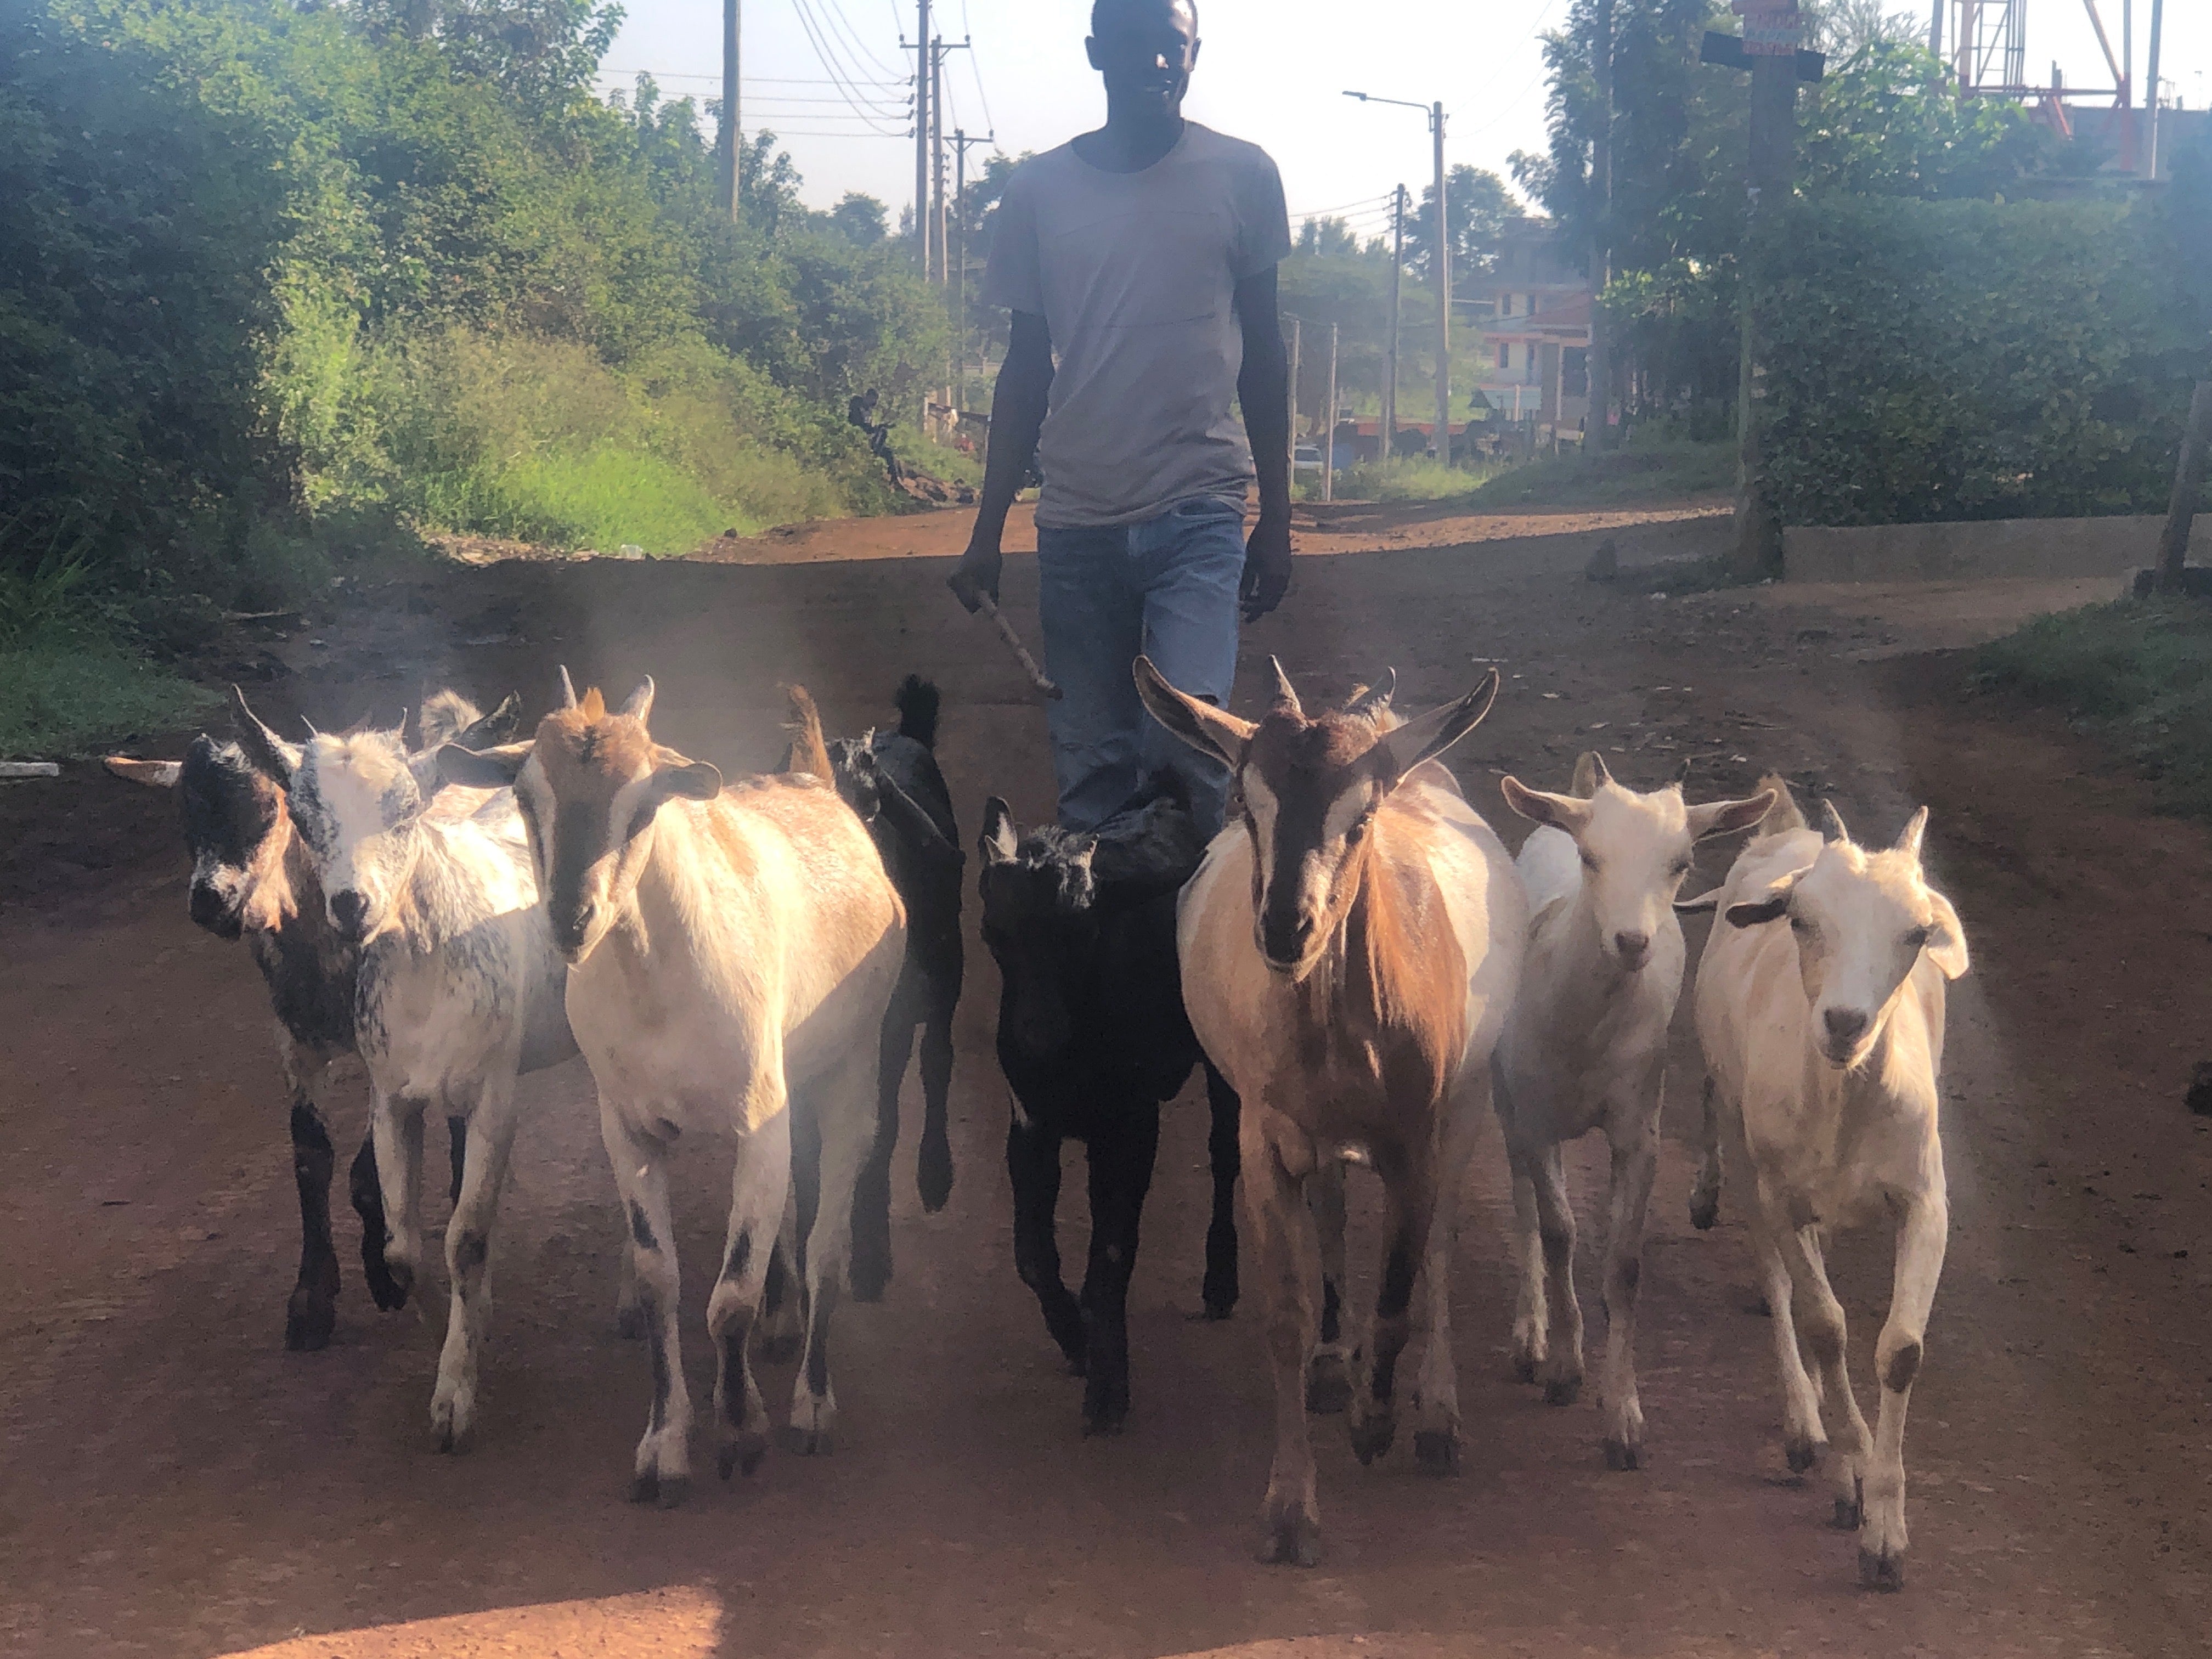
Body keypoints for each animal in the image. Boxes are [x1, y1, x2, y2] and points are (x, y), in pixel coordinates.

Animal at [108, 690, 517, 1353]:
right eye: (186, 816)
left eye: (269, 812)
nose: (209, 901)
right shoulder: (294, 1037)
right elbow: (310, 1155)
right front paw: (311, 1297)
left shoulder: (384, 1051)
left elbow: (365, 1172)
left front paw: (385, 1277)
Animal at [978, 778, 1238, 1442]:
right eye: (996, 935)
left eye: (1084, 933)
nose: (1037, 1034)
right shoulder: (1031, 1125)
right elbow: (1033, 1255)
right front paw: (1075, 1337)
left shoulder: (1130, 1127)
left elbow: (1113, 1252)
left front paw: (1108, 1389)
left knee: (1226, 1159)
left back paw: (1221, 1279)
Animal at [1486, 752, 1778, 1469]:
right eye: (1592, 856)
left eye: (1681, 863)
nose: (1631, 941)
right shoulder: (1537, 1117)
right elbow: (1557, 1231)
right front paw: (1564, 1367)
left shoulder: (1638, 1129)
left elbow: (1626, 1265)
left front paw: (1623, 1415)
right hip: (1508, 1095)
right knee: (1522, 1199)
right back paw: (1530, 1332)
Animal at [1681, 783, 1982, 1601]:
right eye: (1801, 919)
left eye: (1917, 933)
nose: (1845, 1023)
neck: (1846, 1100)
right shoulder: (1779, 1193)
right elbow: (1823, 1324)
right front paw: (1853, 1484)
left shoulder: (1926, 1201)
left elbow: (1900, 1350)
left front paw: (1887, 1528)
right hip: (1742, 1140)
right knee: (1777, 1274)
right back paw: (1802, 1420)